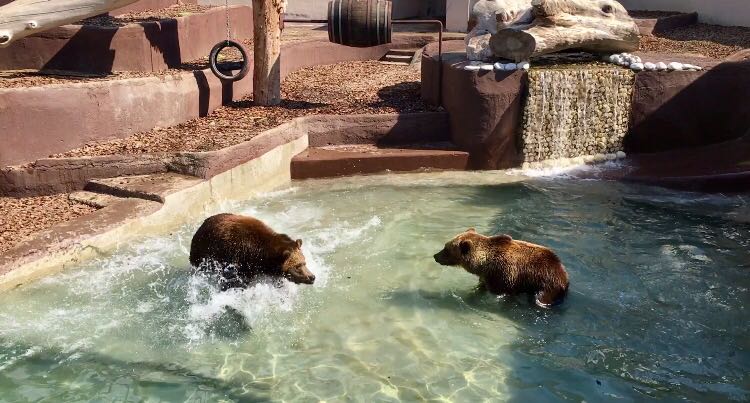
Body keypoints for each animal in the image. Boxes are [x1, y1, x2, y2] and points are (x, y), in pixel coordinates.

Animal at [434, 229, 568, 308]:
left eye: (446, 248)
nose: (435, 256)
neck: (484, 264)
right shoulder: (487, 276)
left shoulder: (502, 276)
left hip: (546, 282)